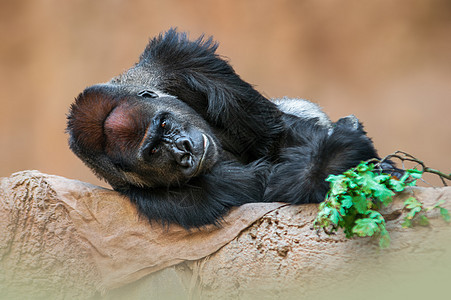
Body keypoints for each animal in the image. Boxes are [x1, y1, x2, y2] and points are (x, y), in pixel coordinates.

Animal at [67, 29, 392, 227]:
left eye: (164, 124)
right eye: (154, 150)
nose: (183, 149)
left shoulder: (178, 59)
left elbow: (275, 134)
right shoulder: (152, 199)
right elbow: (270, 185)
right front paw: (341, 155)